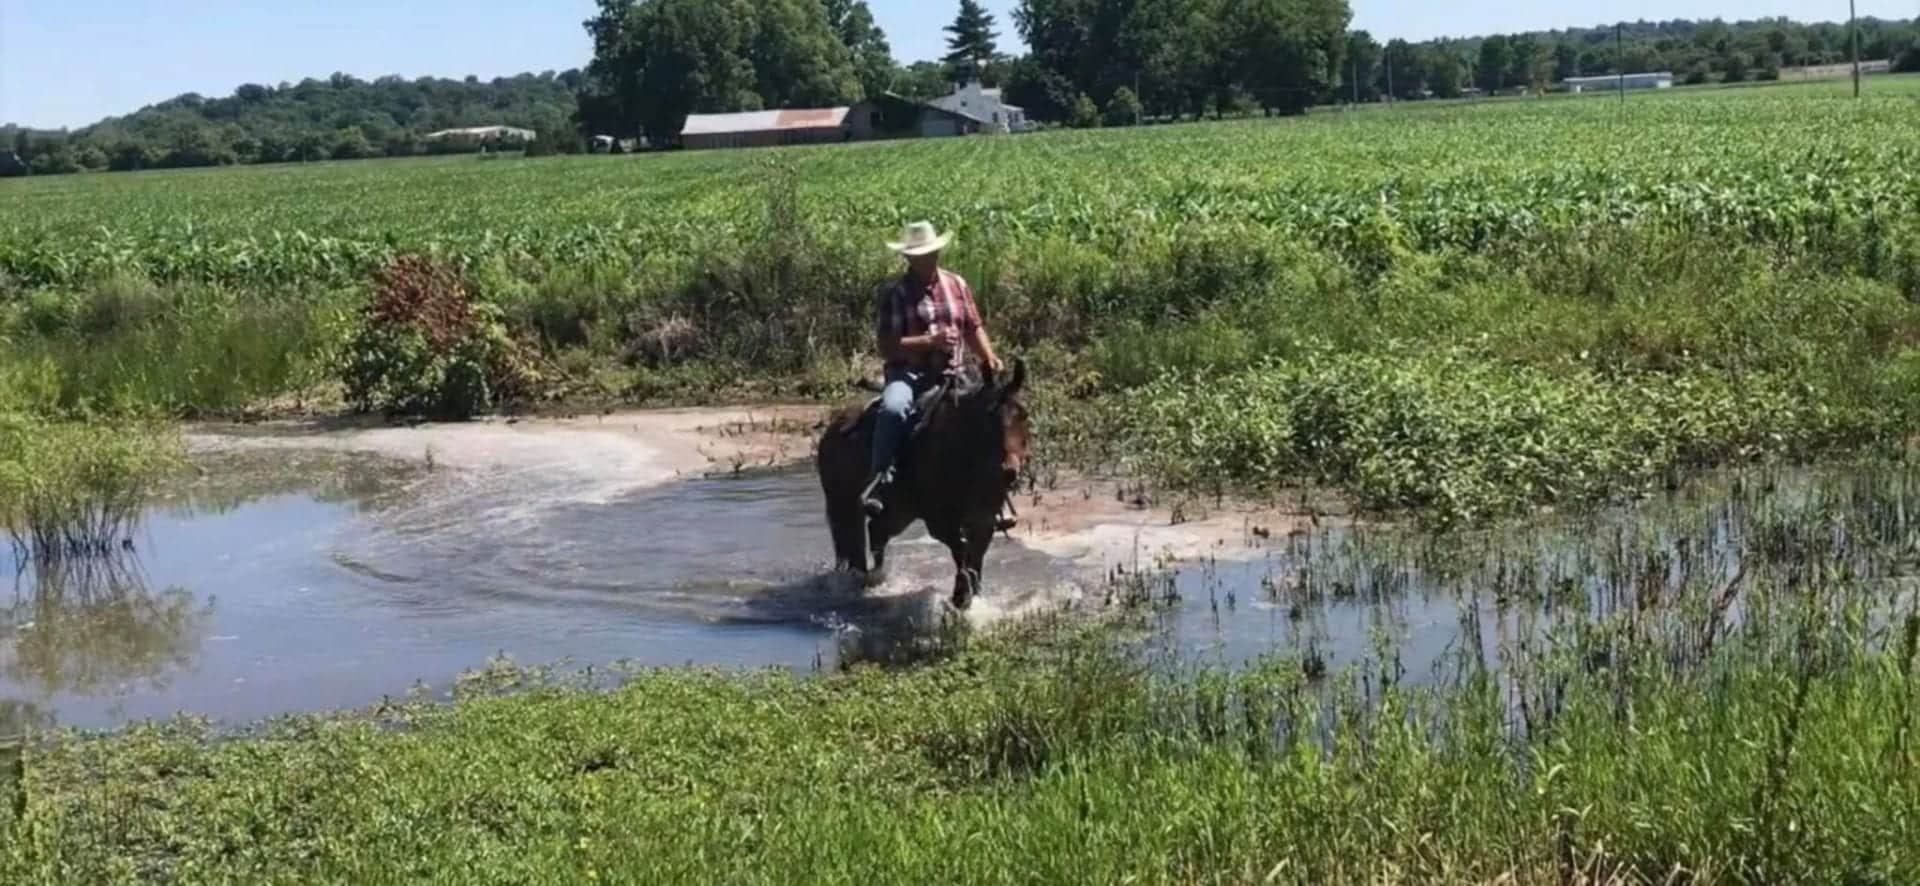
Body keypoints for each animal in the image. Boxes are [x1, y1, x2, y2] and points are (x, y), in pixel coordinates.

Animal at [814, 358, 1030, 611]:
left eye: (1023, 415)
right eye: (988, 417)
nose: (1009, 471)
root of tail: (832, 428)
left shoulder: (983, 521)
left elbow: (975, 557)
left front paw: (973, 597)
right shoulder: (940, 522)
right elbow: (961, 551)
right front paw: (961, 596)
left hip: (899, 512)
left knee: (876, 531)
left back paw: (875, 580)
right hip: (845, 505)